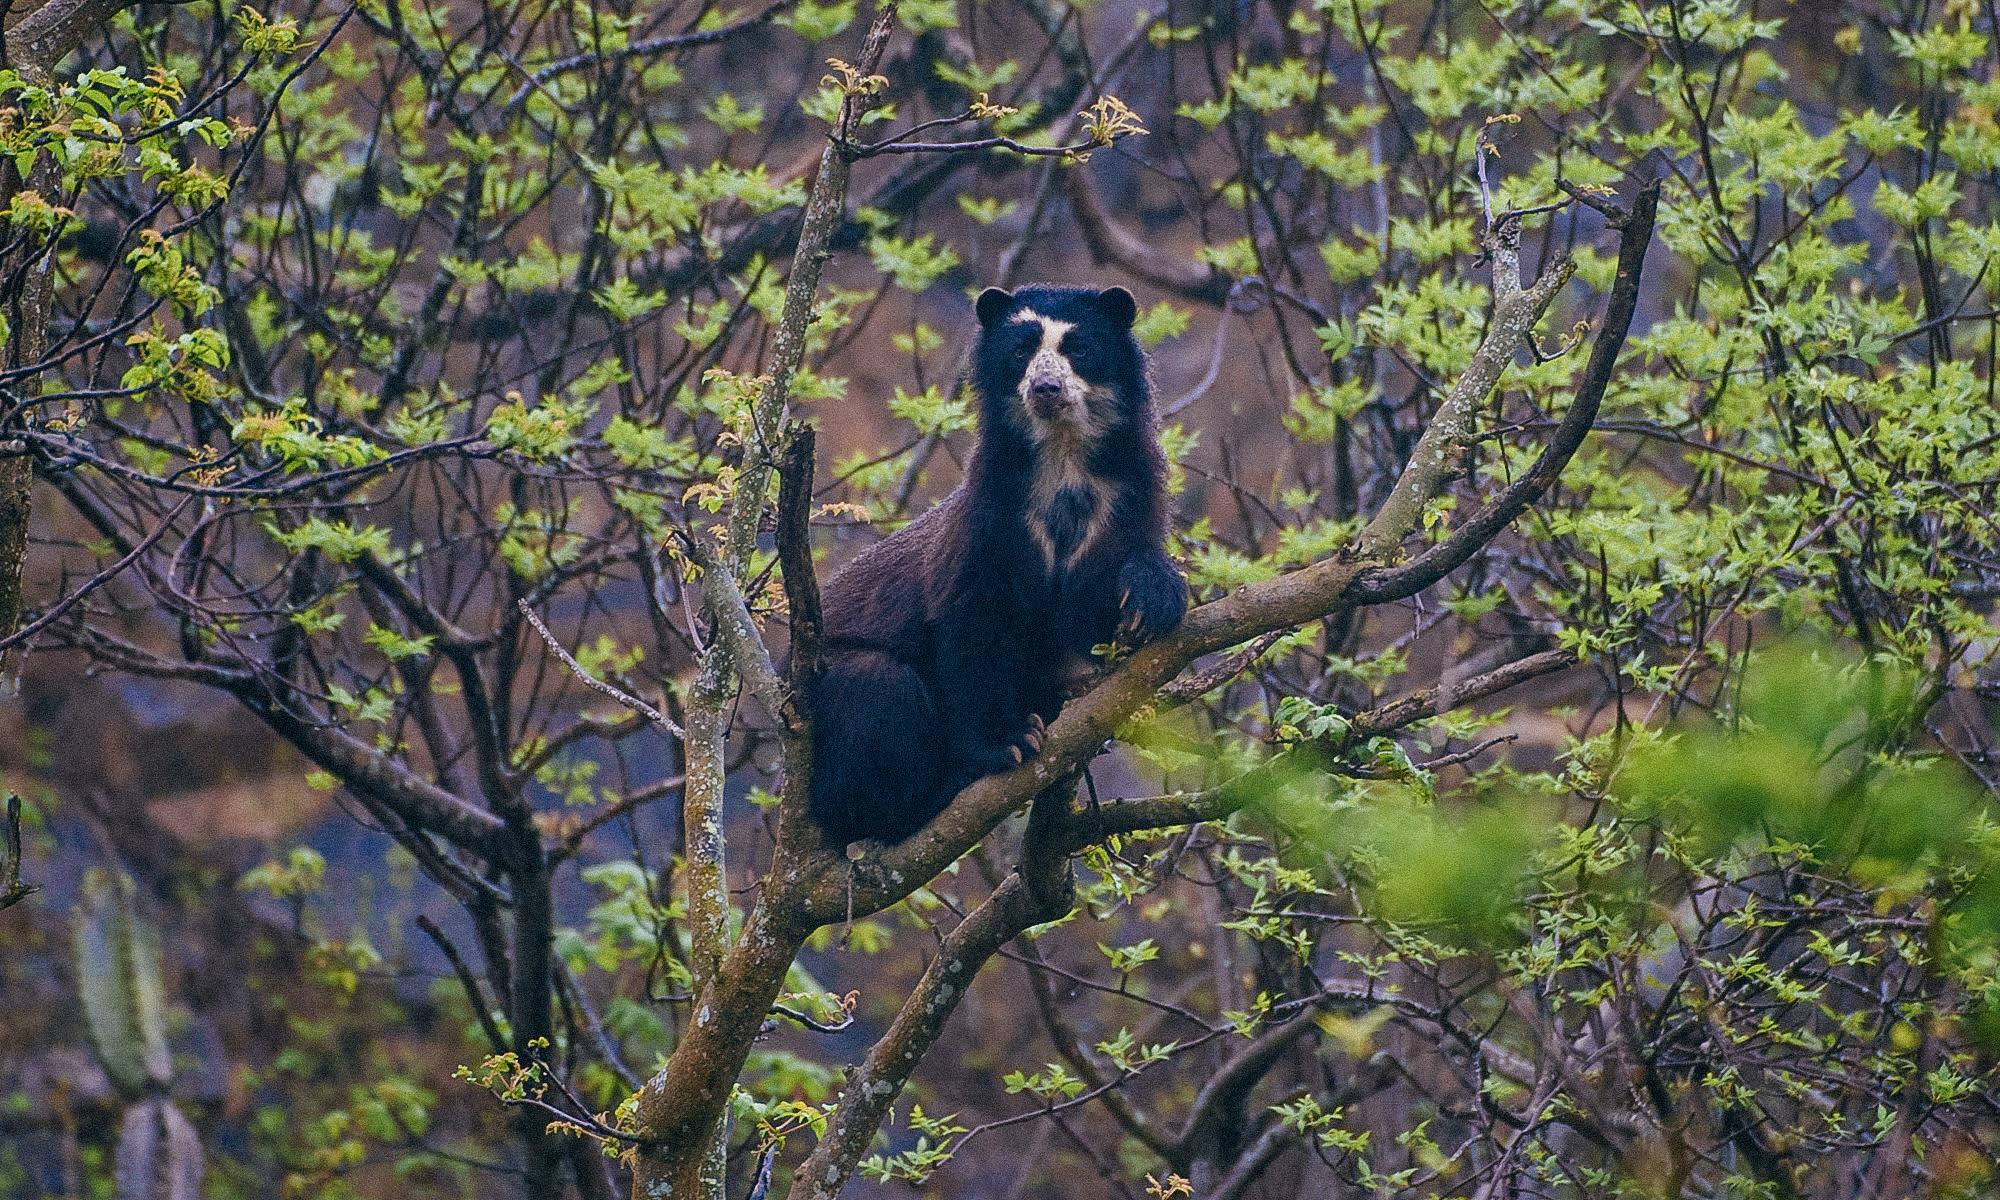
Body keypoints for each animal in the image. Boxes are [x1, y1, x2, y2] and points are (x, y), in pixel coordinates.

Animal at [808, 284, 1184, 844]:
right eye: (1021, 350)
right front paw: (1009, 743)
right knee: (878, 692)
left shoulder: (1128, 498)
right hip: (832, 701)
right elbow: (974, 625)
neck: (1063, 459)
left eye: (1078, 348)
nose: (1046, 388)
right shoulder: (992, 515)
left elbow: (1091, 613)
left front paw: (1149, 600)